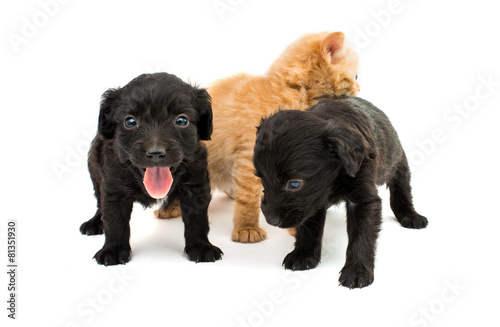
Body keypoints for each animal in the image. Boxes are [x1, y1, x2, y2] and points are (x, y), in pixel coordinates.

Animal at [79, 72, 223, 266]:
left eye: (182, 120)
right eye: (130, 121)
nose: (156, 153)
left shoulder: (196, 185)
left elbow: (197, 219)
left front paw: (201, 246)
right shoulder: (114, 189)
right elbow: (114, 220)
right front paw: (113, 249)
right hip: (94, 170)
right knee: (99, 203)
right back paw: (94, 223)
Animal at [256, 97, 428, 290]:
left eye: (294, 184)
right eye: (261, 178)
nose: (271, 220)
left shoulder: (362, 200)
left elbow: (361, 236)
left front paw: (357, 270)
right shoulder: (311, 202)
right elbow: (309, 229)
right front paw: (303, 254)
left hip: (397, 161)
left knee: (401, 186)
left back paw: (410, 215)